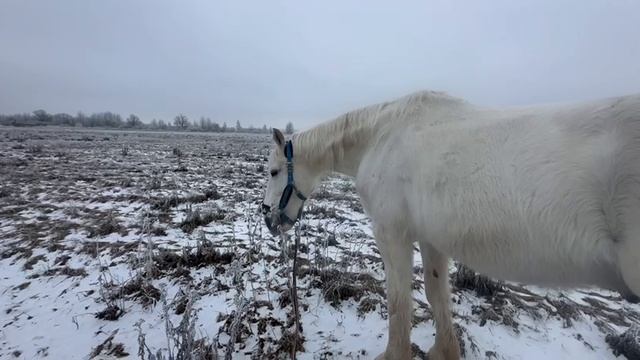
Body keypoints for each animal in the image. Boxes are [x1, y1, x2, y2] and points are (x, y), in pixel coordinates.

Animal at [260, 89, 640, 358]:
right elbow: (436, 294)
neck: (379, 137)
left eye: (274, 172)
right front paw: (444, 351)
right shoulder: (432, 239)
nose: (269, 218)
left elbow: (399, 300)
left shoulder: (391, 234)